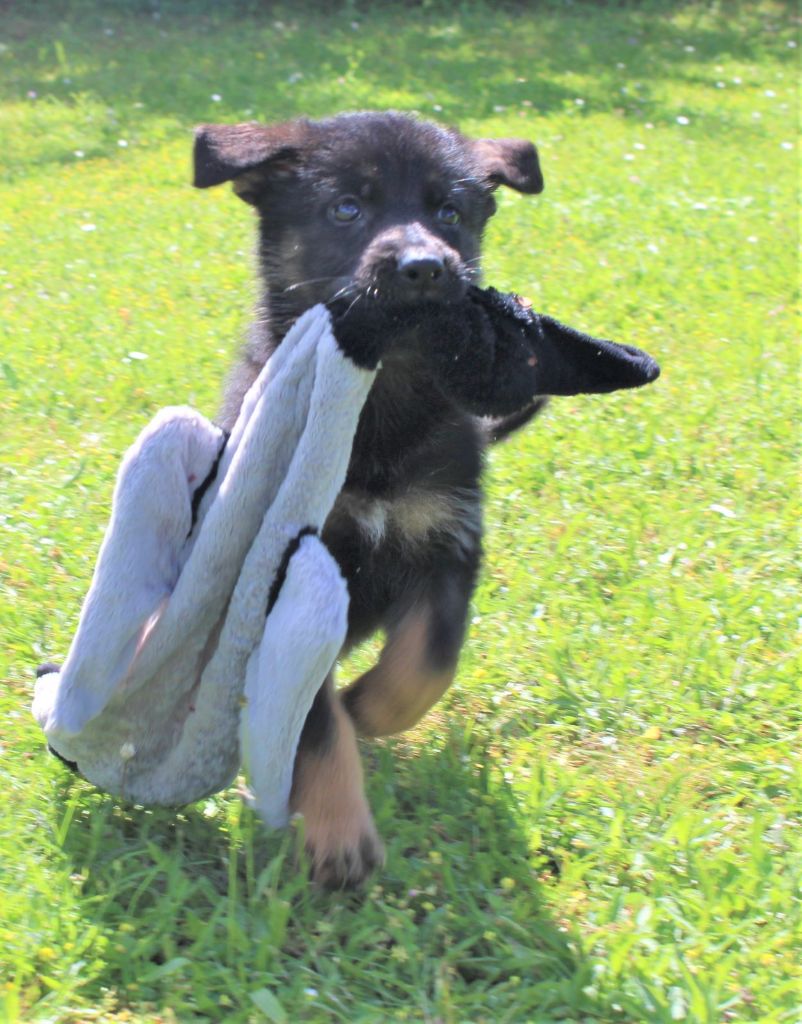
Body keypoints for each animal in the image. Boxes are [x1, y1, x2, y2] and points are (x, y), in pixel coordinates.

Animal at [193, 111, 545, 887]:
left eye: (451, 213)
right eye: (347, 208)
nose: (425, 268)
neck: (377, 403)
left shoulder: (446, 538)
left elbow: (427, 663)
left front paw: (367, 709)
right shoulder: (286, 574)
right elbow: (313, 722)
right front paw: (335, 832)